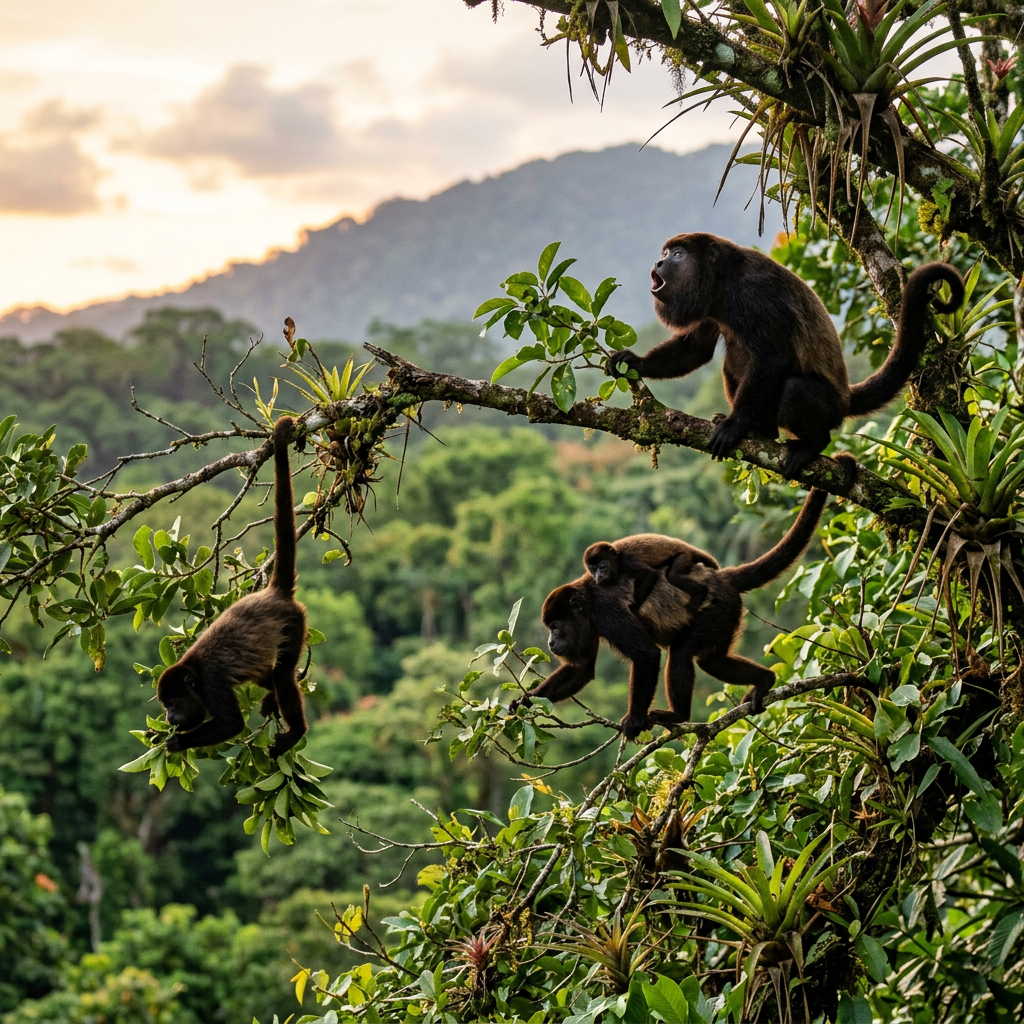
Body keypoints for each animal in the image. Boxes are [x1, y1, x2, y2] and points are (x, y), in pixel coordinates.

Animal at [157, 416, 308, 758]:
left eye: (173, 703)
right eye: (165, 706)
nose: (170, 718)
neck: (193, 674)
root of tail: (274, 593)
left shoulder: (211, 685)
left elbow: (231, 724)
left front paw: (179, 741)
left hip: (294, 624)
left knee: (282, 675)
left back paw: (295, 731)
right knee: (271, 675)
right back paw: (271, 698)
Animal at [510, 466, 847, 738]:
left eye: (556, 626)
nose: (551, 642)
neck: (588, 602)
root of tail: (721, 578)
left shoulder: (606, 612)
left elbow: (646, 655)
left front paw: (634, 720)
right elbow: (580, 669)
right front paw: (521, 703)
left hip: (716, 609)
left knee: (683, 654)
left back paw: (677, 715)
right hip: (728, 615)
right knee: (712, 660)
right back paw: (764, 680)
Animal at [610, 233, 965, 478]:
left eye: (677, 254)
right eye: (664, 254)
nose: (658, 263)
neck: (723, 281)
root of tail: (845, 398)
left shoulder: (753, 294)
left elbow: (772, 359)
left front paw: (734, 427)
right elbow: (695, 349)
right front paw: (633, 362)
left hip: (828, 408)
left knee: (795, 387)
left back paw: (810, 443)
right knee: (731, 368)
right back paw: (761, 432)